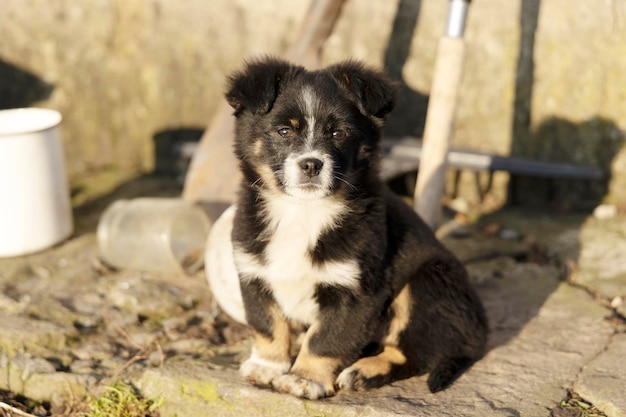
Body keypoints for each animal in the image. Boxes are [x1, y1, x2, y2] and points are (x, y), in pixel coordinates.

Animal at [224, 57, 488, 398]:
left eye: (338, 133)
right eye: (284, 131)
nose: (311, 164)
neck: (303, 212)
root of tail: (477, 335)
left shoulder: (355, 290)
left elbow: (325, 338)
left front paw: (304, 378)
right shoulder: (254, 273)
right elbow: (267, 324)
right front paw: (267, 366)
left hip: (426, 283)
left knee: (412, 353)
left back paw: (362, 372)